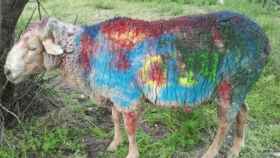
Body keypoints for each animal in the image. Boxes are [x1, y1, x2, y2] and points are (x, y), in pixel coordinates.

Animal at [5, 11, 270, 158]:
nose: (7, 71)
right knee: (243, 112)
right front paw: (114, 144)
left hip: (233, 83)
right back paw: (237, 148)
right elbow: (115, 119)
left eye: (32, 48)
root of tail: (264, 39)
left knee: (225, 122)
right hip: (239, 85)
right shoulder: (114, 94)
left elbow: (130, 127)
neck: (86, 50)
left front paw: (131, 153)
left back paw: (212, 153)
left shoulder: (127, 95)